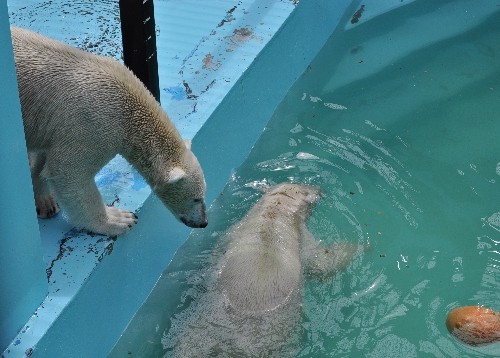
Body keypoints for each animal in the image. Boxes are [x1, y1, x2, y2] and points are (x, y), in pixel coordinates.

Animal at [11, 27, 207, 235]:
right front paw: (118, 219)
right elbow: (68, 170)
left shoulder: (50, 124)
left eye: (205, 192)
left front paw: (45, 201)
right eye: (196, 198)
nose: (203, 222)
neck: (127, 110)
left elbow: (44, 157)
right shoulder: (91, 124)